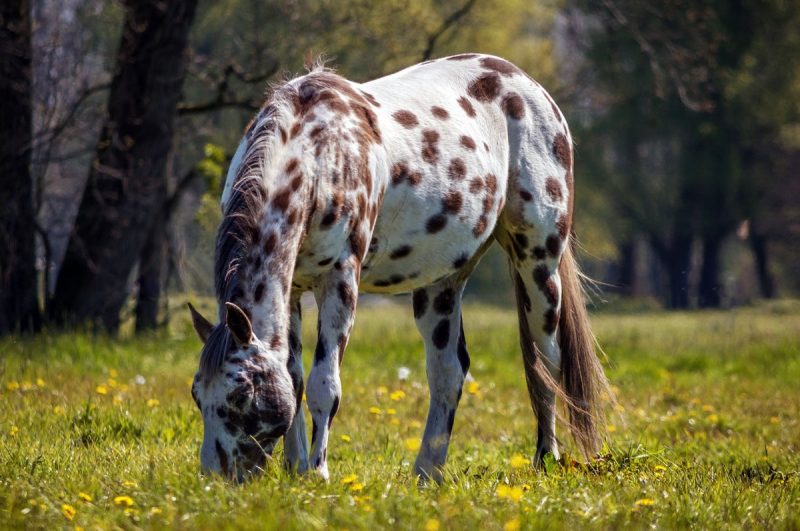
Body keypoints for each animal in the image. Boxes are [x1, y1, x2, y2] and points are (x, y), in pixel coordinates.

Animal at [188, 53, 608, 482]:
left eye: (240, 395)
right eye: (196, 394)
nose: (215, 478)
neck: (319, 154)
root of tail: (528, 85)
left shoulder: (340, 281)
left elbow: (325, 386)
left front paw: (317, 473)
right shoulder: (292, 291)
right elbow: (295, 379)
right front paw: (296, 469)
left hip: (538, 264)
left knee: (545, 363)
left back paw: (545, 458)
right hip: (442, 283)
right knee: (448, 373)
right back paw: (427, 472)